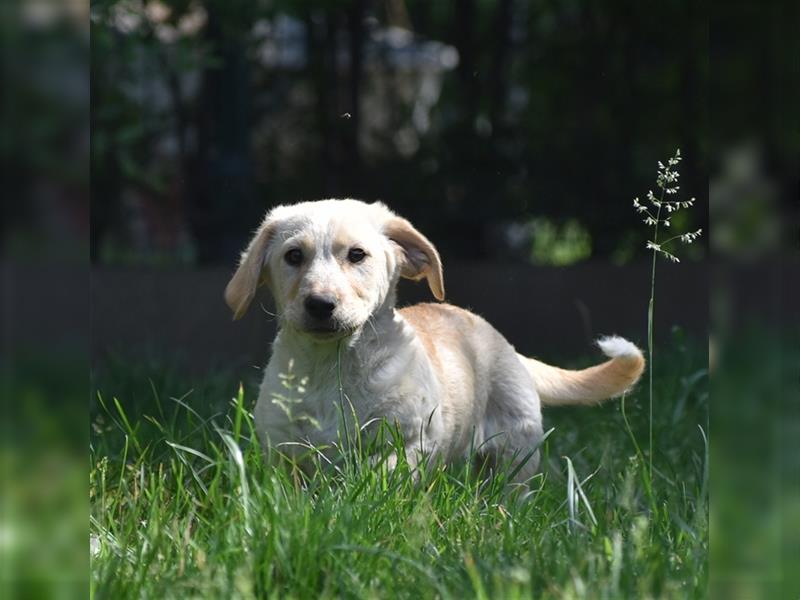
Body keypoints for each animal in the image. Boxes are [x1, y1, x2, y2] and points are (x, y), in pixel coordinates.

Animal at [223, 199, 644, 480]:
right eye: (294, 256)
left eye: (357, 255)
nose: (321, 304)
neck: (332, 366)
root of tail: (508, 348)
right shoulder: (283, 452)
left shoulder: (404, 442)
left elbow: (380, 478)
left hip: (515, 451)